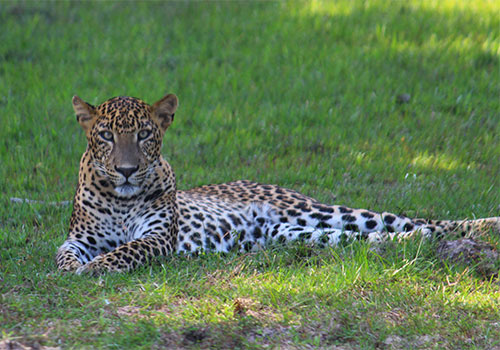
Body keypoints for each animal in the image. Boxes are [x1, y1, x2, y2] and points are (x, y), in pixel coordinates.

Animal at [55, 93, 500, 274]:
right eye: (106, 136)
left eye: (145, 134)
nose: (127, 170)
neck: (120, 199)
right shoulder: (80, 237)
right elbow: (63, 255)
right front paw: (74, 268)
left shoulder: (158, 237)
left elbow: (127, 250)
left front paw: (97, 267)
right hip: (296, 233)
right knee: (383, 238)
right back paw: (408, 245)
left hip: (318, 210)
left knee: (423, 222)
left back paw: (484, 227)